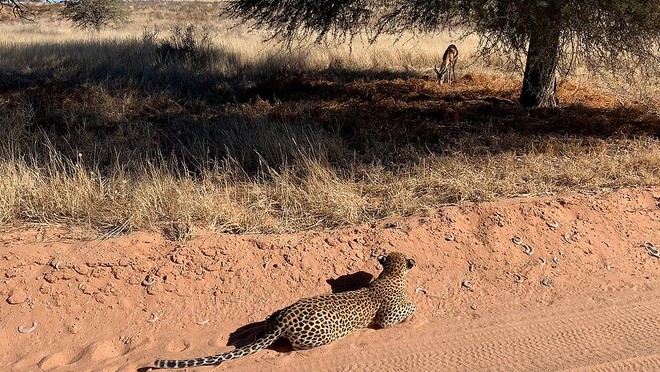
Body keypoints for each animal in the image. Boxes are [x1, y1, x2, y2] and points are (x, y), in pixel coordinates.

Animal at [152, 250, 416, 370]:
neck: (390, 274)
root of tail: (284, 321)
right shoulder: (386, 318)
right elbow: (408, 307)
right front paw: (414, 304)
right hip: (322, 334)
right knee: (296, 346)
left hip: (279, 312)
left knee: (267, 321)